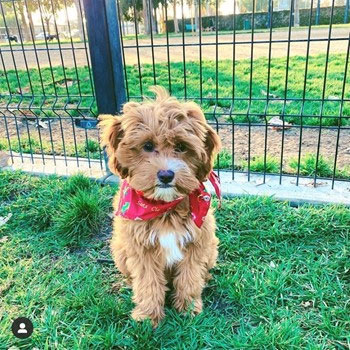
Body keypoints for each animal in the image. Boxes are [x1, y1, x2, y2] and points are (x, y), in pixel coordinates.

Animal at [98, 87, 220, 326]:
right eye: (147, 146)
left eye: (181, 147)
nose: (166, 175)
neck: (164, 207)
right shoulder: (141, 248)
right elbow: (148, 282)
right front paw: (148, 316)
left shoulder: (197, 242)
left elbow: (190, 277)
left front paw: (188, 309)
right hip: (119, 250)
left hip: (211, 247)